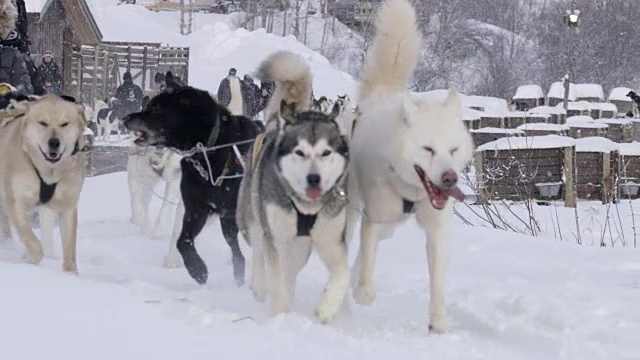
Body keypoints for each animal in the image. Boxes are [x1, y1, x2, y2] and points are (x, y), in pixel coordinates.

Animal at [0, 94, 87, 272]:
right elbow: (33, 244)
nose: (54, 142)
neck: (48, 172)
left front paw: (70, 274)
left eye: (64, 124)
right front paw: (29, 258)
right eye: (42, 123)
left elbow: (69, 249)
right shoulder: (16, 203)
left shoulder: (67, 206)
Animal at [348, 0, 472, 334]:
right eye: (428, 149)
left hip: (391, 227)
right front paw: (363, 292)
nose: (449, 178)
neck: (412, 193)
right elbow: (367, 259)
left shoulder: (437, 229)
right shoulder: (374, 217)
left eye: (453, 150)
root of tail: (383, 93)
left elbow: (437, 281)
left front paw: (438, 322)